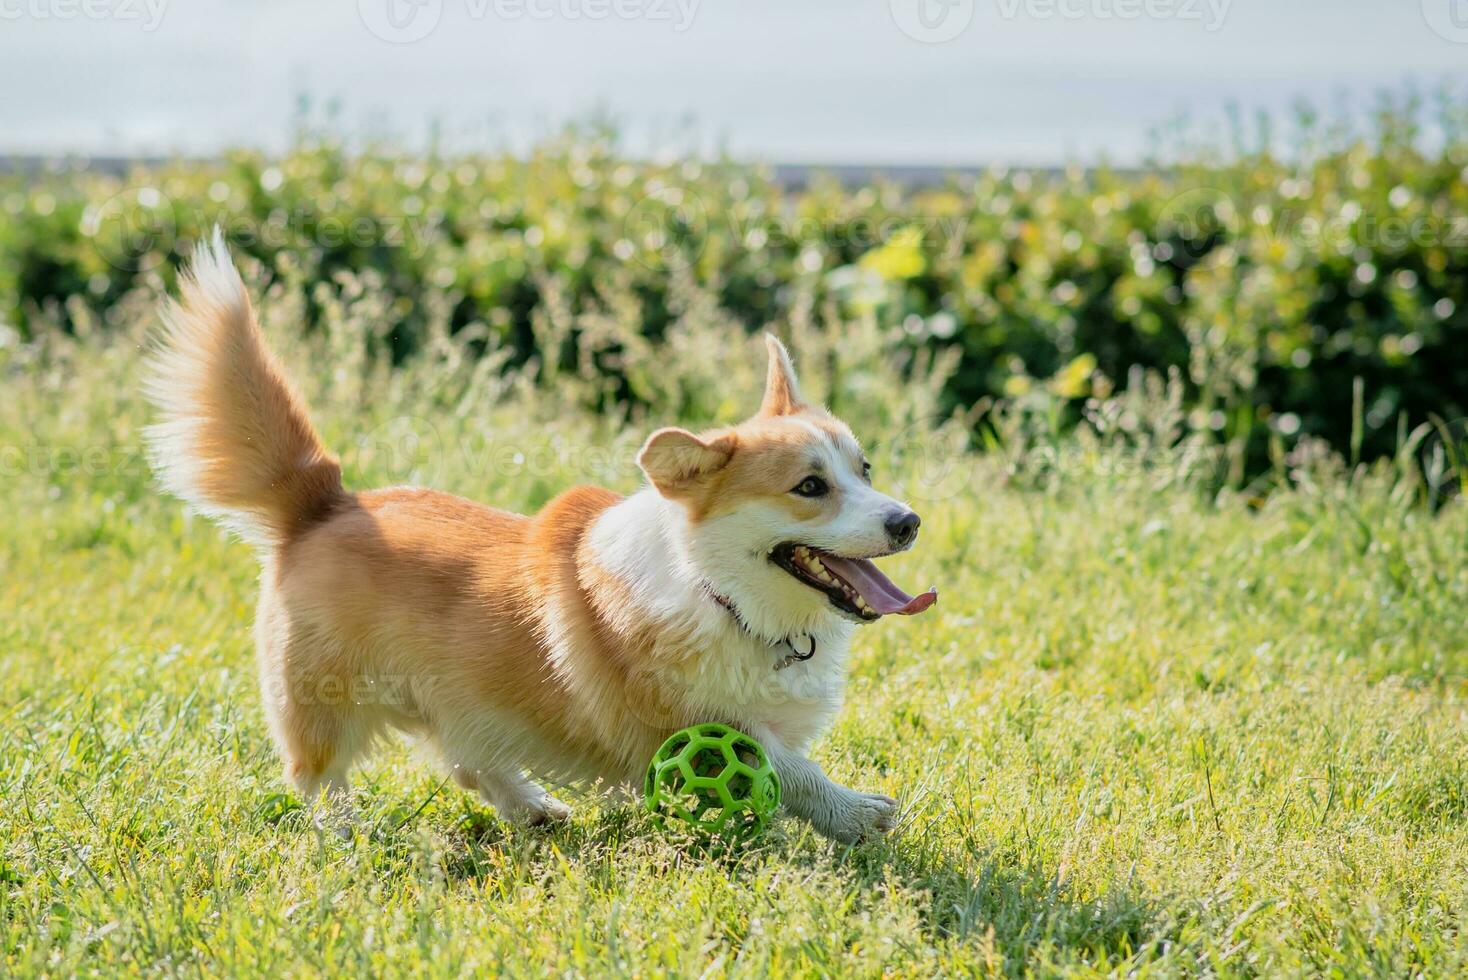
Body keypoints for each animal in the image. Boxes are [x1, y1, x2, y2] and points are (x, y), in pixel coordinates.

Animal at [146, 231, 927, 845]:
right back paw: (346, 835)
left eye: (864, 469)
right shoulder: (684, 720)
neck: (719, 592)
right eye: (809, 488)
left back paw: (531, 807)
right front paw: (856, 812)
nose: (908, 522)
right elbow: (785, 768)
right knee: (316, 776)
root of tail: (324, 499)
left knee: (466, 759)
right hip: (323, 700)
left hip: (462, 696)